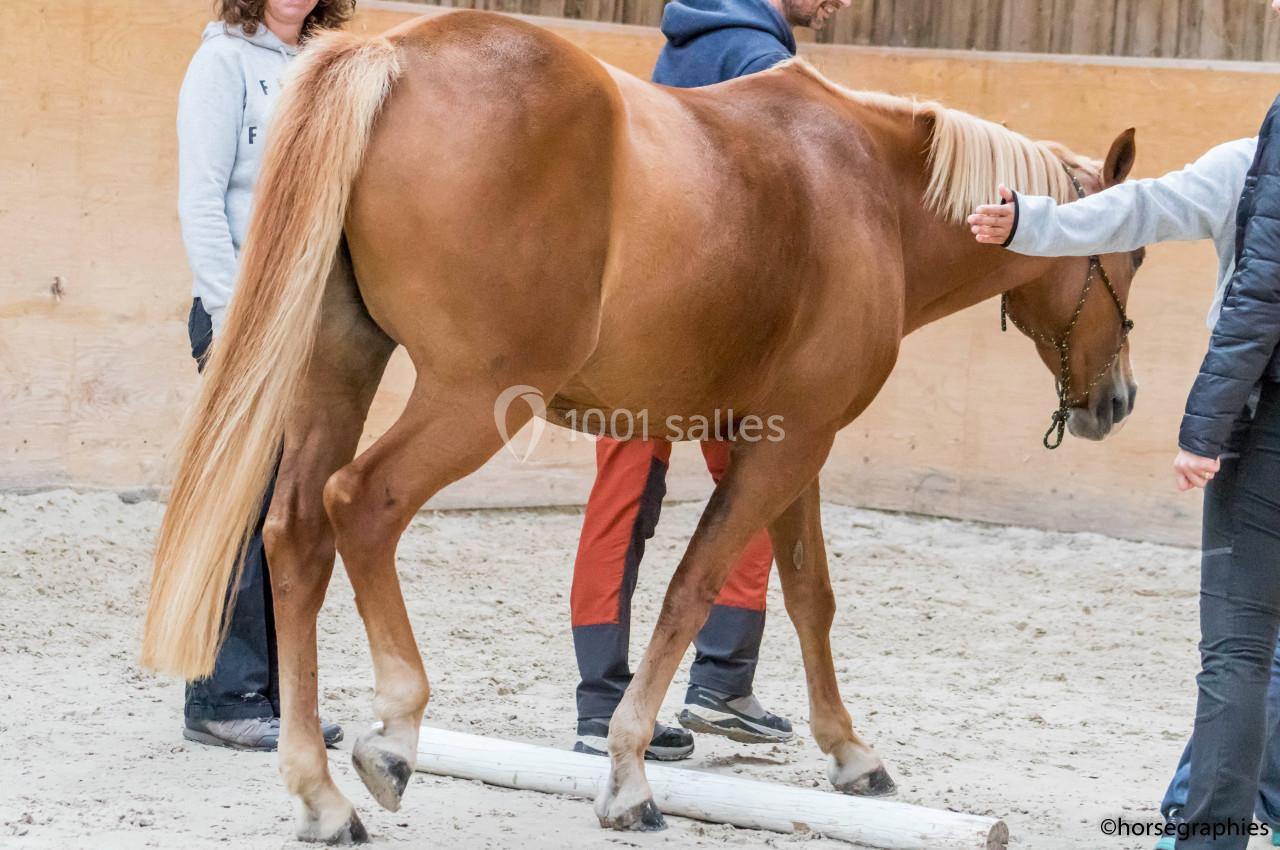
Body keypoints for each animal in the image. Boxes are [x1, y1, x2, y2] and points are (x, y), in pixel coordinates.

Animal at [142, 10, 1143, 842]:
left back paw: (319, 793)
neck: (866, 192)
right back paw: (394, 733)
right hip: (469, 401)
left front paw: (851, 753)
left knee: (293, 533)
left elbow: (808, 594)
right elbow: (694, 587)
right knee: (361, 504)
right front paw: (627, 775)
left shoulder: (786, 441)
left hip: (338, 370)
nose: (1119, 401)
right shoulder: (788, 445)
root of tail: (395, 53)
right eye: (1127, 252)